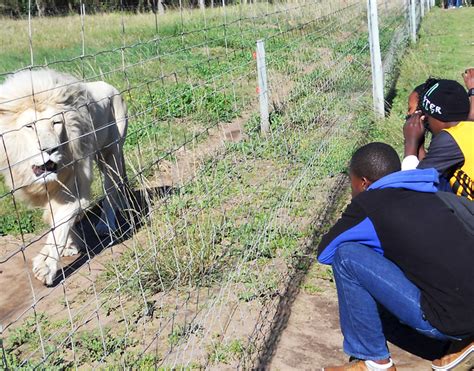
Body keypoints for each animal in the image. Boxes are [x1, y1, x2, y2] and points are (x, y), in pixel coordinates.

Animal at [0, 68, 129, 286]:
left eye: (56, 123)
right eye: (29, 127)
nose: (50, 149)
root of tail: (111, 86)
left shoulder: (76, 181)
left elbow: (63, 219)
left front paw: (45, 266)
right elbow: (56, 218)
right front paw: (71, 246)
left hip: (111, 151)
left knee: (110, 189)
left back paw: (105, 225)